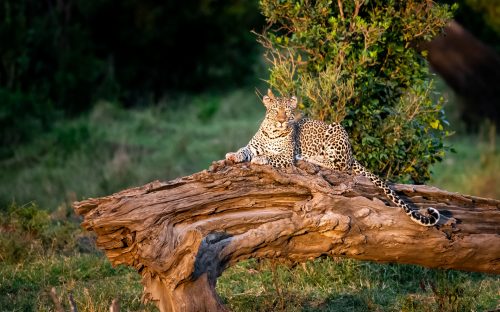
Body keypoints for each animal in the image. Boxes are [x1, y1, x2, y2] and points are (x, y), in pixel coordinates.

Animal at [225, 90, 440, 227]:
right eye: (274, 111)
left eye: (287, 112)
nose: (281, 121)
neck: (272, 133)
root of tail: (352, 153)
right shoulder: (253, 146)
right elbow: (244, 150)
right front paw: (233, 155)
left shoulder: (286, 156)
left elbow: (272, 156)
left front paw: (261, 160)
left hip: (336, 133)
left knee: (342, 167)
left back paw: (314, 159)